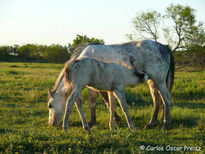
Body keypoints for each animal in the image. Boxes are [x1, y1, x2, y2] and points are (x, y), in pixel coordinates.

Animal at [47, 39, 175, 130]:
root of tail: (164, 46)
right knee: (157, 100)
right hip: (152, 81)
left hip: (159, 80)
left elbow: (97, 102)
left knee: (166, 99)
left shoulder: (94, 87)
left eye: (50, 105)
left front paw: (94, 122)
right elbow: (107, 103)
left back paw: (165, 123)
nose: (51, 124)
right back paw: (151, 123)